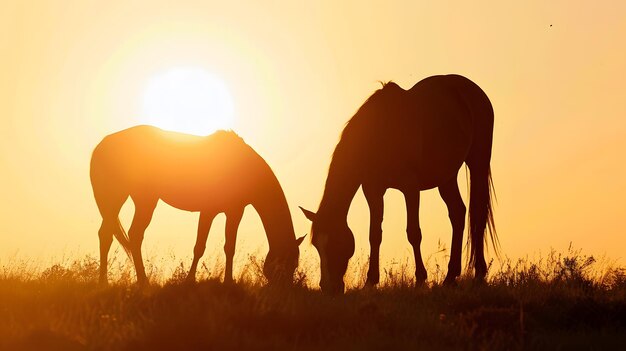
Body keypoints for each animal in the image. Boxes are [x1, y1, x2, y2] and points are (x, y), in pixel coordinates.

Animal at [91, 126, 304, 286]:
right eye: (289, 263)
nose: (285, 287)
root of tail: (102, 145)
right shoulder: (209, 211)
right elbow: (200, 246)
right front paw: (190, 280)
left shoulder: (234, 211)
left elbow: (230, 247)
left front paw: (228, 281)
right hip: (134, 198)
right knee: (127, 234)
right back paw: (135, 282)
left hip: (126, 198)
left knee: (112, 234)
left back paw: (111, 282)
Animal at [300, 75, 494, 294]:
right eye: (317, 245)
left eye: (335, 241)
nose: (327, 287)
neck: (381, 133)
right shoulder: (373, 190)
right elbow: (374, 234)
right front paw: (371, 281)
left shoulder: (410, 188)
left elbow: (414, 232)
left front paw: (420, 279)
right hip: (447, 176)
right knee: (458, 213)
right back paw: (450, 277)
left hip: (478, 162)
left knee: (478, 215)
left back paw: (479, 274)